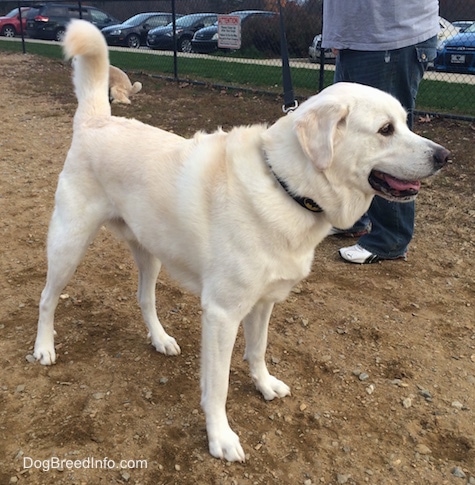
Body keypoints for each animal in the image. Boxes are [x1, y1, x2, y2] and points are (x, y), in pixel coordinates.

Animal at [33, 19, 450, 462]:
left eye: (406, 122)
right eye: (386, 130)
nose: (445, 156)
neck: (286, 187)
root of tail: (96, 120)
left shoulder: (263, 303)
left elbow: (258, 350)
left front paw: (264, 385)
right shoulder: (221, 314)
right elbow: (217, 387)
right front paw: (220, 437)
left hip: (151, 252)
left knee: (144, 298)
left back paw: (160, 339)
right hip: (69, 244)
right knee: (47, 299)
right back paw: (44, 347)